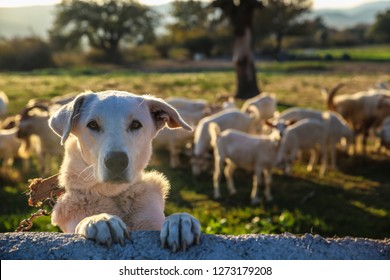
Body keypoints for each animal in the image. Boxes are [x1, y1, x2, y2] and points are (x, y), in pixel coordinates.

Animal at [48, 91, 201, 252]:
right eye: (92, 124)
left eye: (136, 124)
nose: (116, 161)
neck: (114, 193)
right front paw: (99, 219)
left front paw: (180, 221)